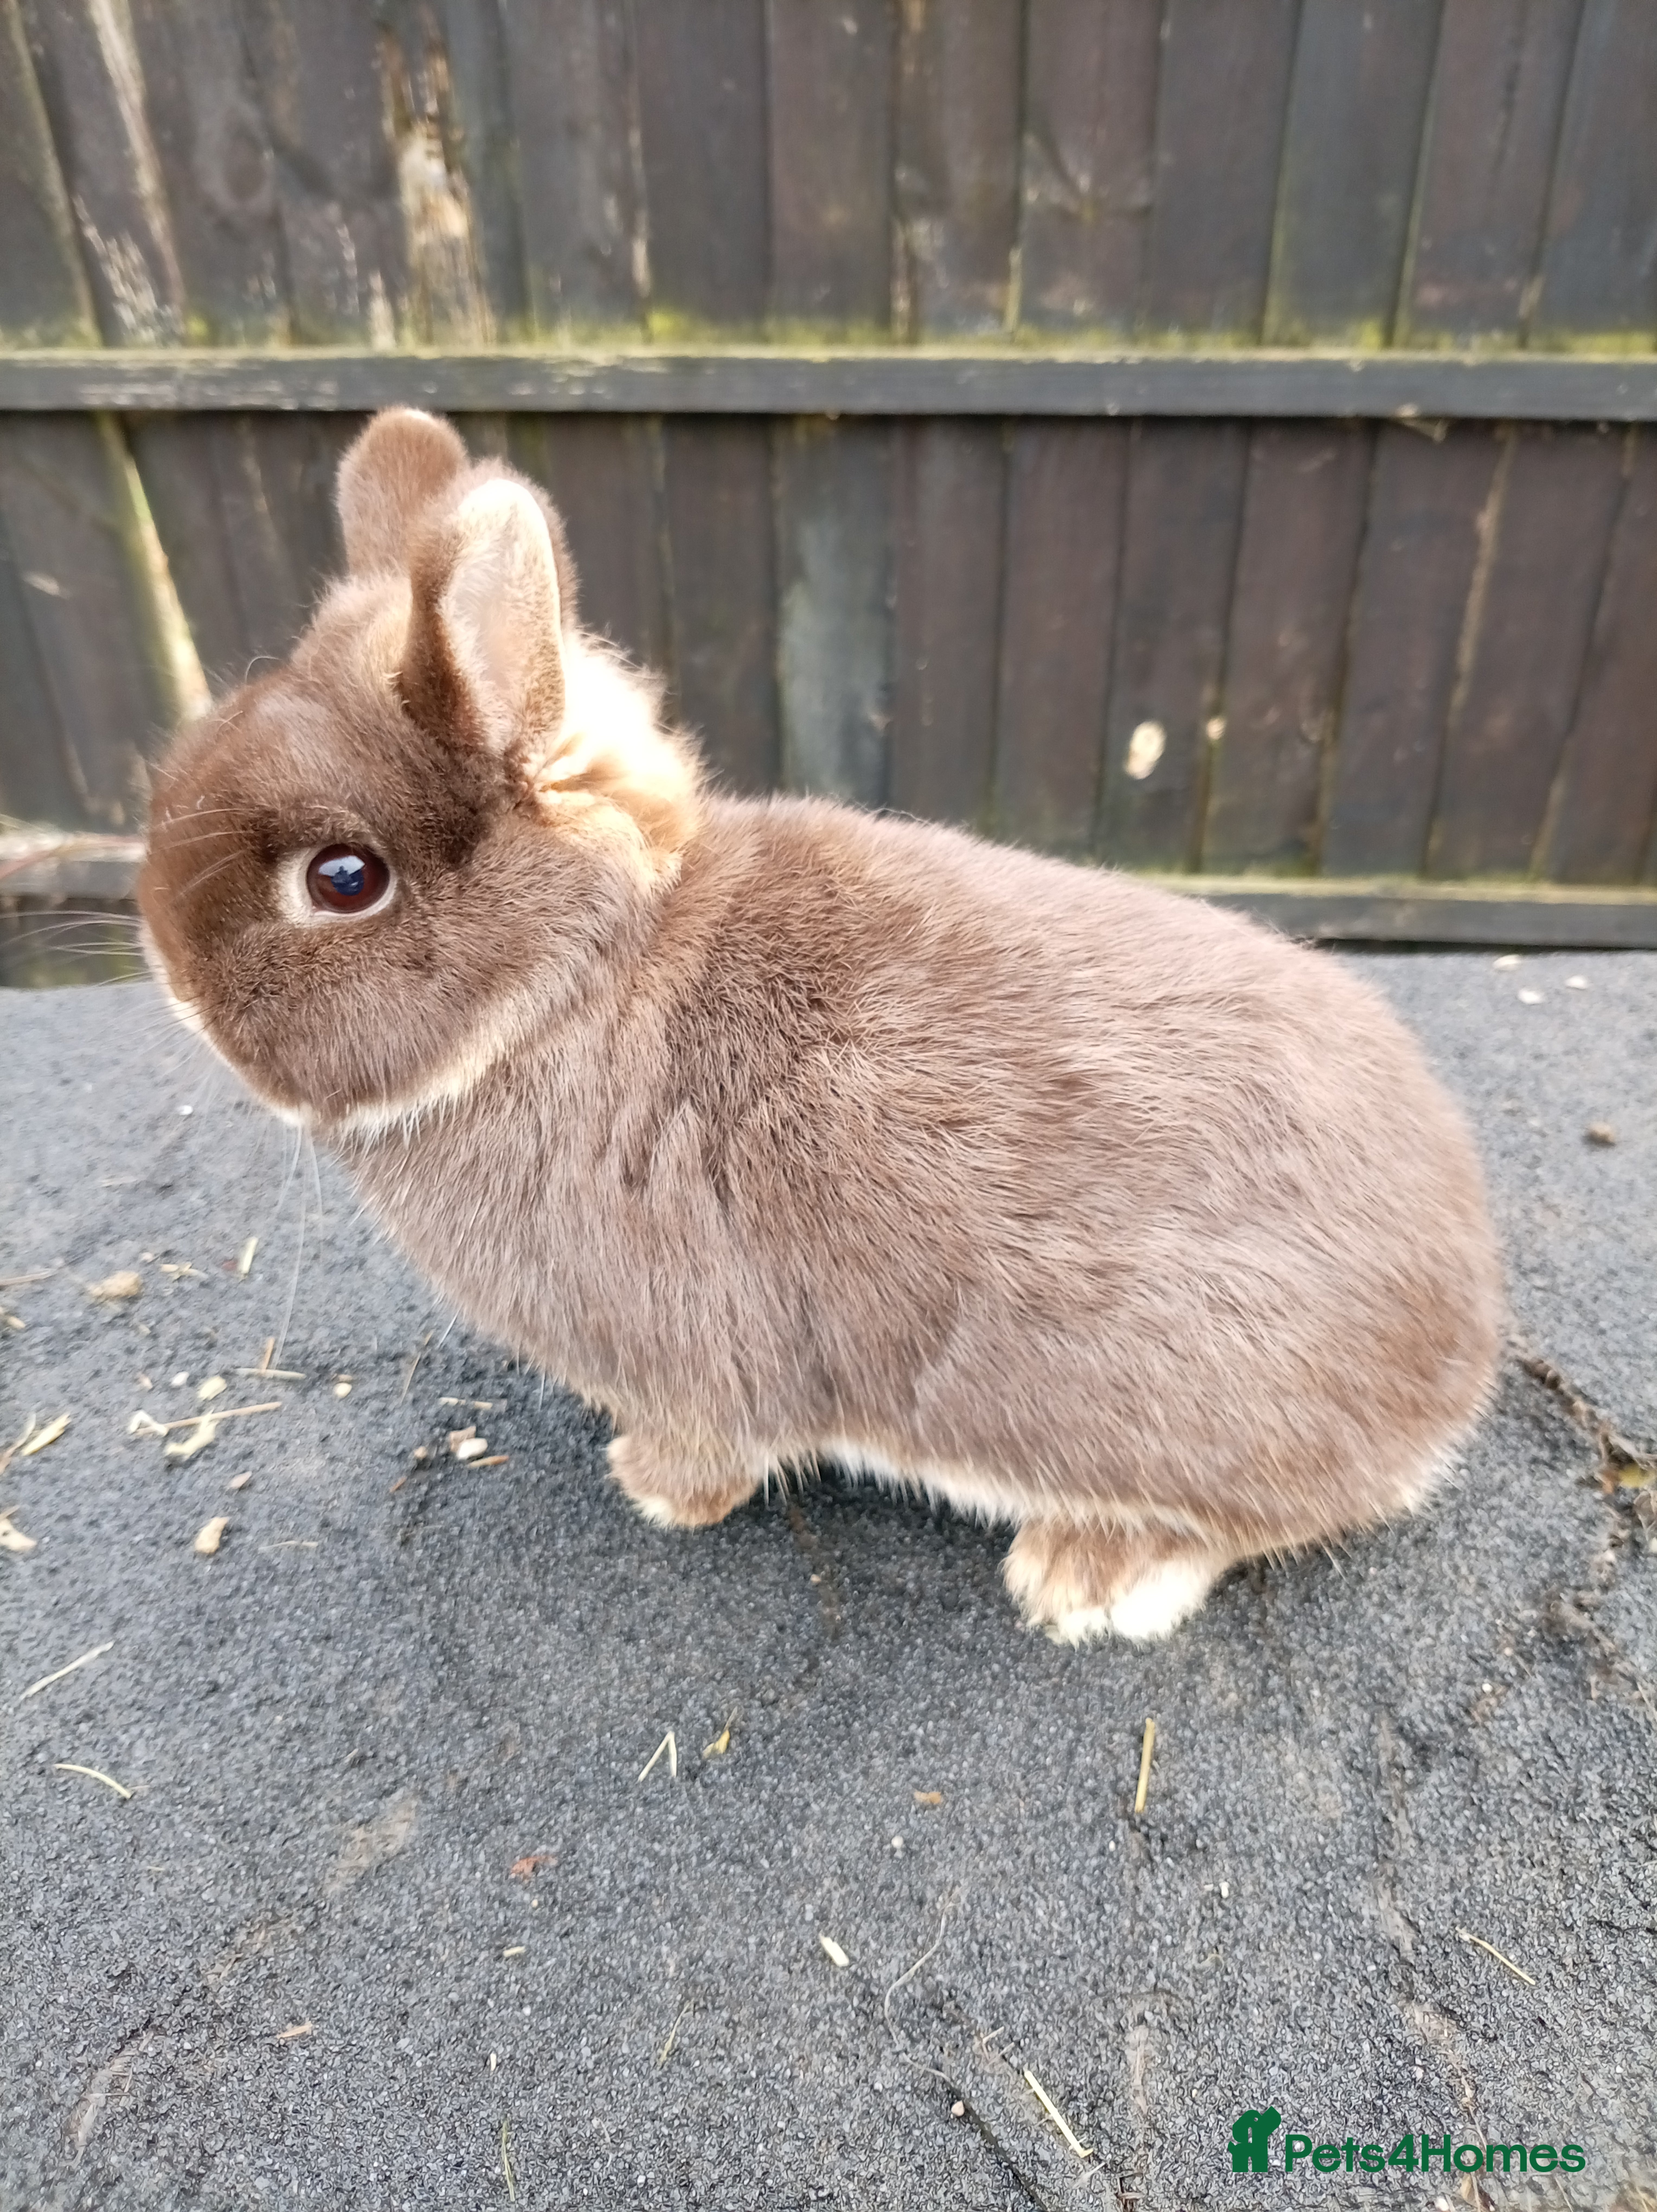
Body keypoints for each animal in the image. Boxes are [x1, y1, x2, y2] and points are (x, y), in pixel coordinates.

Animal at [138, 407, 1504, 1645]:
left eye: (343, 880)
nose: (169, 976)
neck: (570, 983)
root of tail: (1458, 1351)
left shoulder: (688, 1348)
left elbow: (712, 1445)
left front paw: (650, 1489)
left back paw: (1079, 1579)